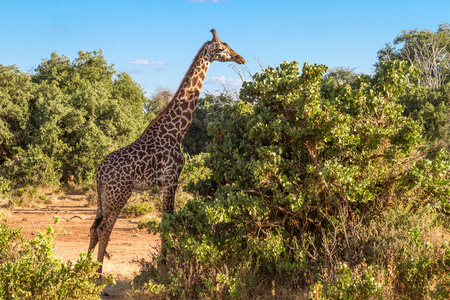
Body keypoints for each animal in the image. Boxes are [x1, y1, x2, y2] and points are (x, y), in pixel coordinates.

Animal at [86, 29, 244, 274]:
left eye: (228, 46)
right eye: (221, 48)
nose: (240, 58)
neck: (177, 131)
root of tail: (99, 172)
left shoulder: (165, 183)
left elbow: (165, 222)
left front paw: (165, 265)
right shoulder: (171, 179)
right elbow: (166, 222)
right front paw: (164, 268)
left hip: (103, 197)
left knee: (94, 228)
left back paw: (82, 270)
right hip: (119, 194)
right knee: (104, 229)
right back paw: (98, 275)